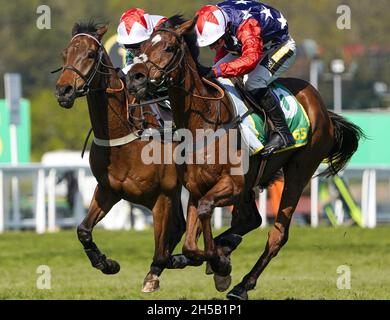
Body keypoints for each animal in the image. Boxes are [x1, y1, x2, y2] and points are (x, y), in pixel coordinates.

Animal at [54, 21, 190, 292]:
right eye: (65, 53)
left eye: (90, 54)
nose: (64, 90)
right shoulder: (109, 190)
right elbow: (83, 230)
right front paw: (107, 264)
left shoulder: (162, 197)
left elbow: (161, 246)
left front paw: (155, 274)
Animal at [126, 16, 364, 298]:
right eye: (143, 47)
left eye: (169, 47)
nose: (135, 78)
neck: (204, 121)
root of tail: (322, 107)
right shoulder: (196, 188)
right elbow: (190, 245)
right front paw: (211, 258)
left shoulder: (233, 184)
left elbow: (205, 213)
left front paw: (219, 263)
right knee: (250, 219)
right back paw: (224, 248)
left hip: (299, 171)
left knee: (277, 234)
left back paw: (242, 284)